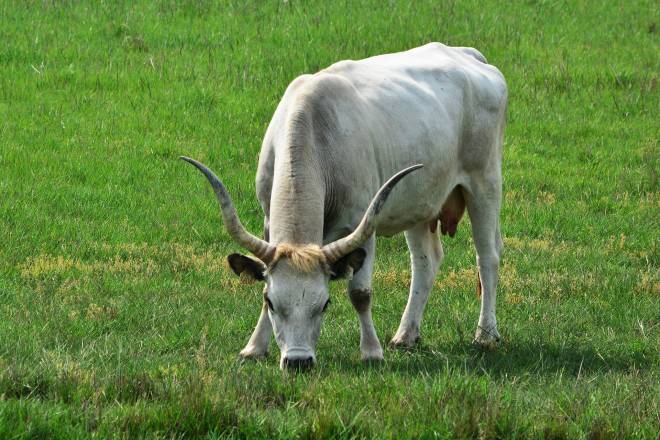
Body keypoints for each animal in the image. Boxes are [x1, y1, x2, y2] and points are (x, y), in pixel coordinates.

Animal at [182, 42, 507, 370]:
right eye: (272, 303)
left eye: (324, 304)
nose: (298, 361)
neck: (316, 131)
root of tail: (468, 55)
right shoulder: (267, 221)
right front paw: (254, 348)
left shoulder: (363, 223)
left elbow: (360, 293)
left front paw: (372, 351)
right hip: (420, 202)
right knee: (425, 262)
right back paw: (406, 334)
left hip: (485, 183)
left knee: (487, 257)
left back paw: (485, 334)